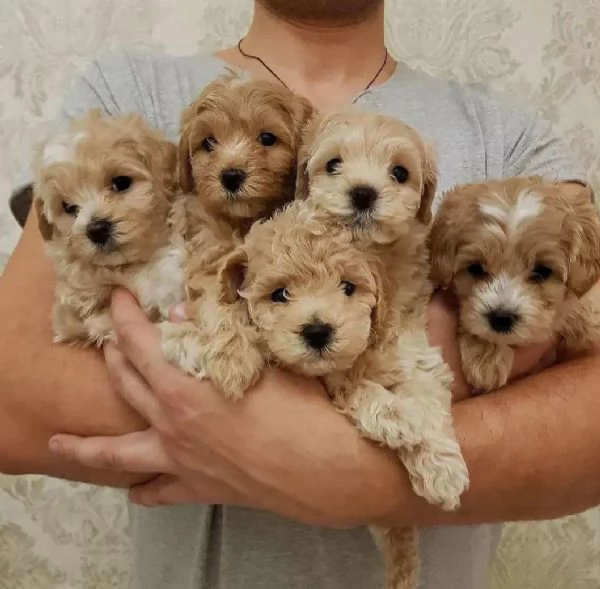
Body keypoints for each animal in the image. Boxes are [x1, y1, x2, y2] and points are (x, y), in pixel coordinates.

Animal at [159, 71, 314, 398]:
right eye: (208, 142)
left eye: (267, 138)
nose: (230, 176)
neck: (243, 220)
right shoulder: (208, 256)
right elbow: (222, 299)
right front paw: (233, 358)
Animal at [218, 201, 472, 588]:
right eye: (280, 294)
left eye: (348, 287)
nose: (317, 331)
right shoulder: (333, 382)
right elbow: (358, 391)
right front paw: (397, 418)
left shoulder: (414, 358)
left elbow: (427, 403)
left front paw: (443, 471)